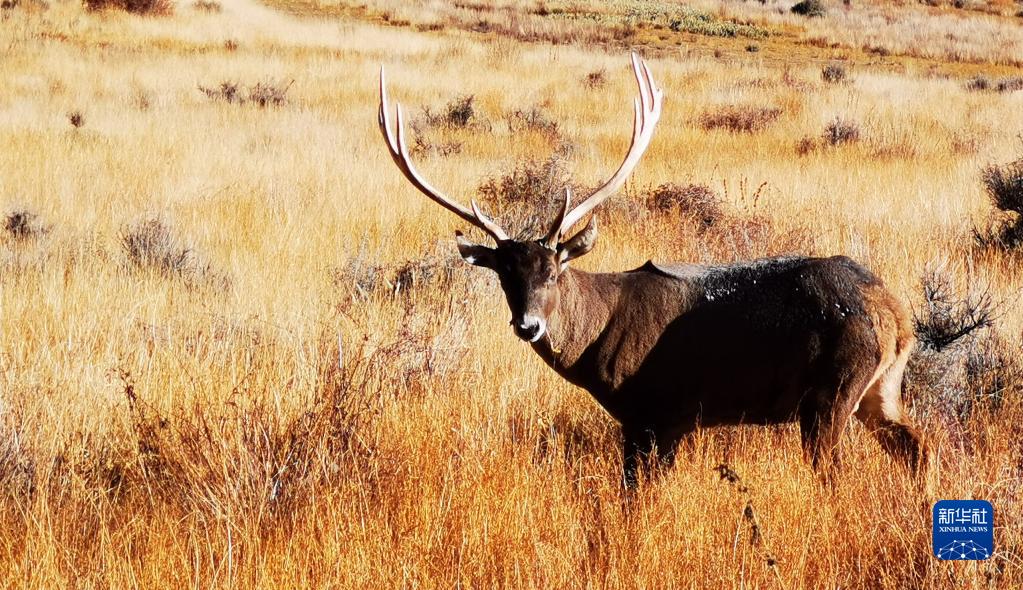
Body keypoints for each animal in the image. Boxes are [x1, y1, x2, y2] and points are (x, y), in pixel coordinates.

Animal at [376, 56, 928, 486]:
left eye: (553, 271)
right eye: (504, 275)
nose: (528, 325)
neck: (600, 338)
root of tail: (898, 315)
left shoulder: (658, 411)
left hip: (832, 391)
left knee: (838, 471)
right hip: (880, 388)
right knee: (917, 448)